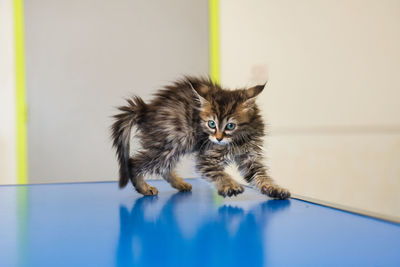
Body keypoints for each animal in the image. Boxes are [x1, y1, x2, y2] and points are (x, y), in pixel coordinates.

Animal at [111, 76, 290, 200]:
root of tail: (146, 109)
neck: (239, 139)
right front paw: (229, 185)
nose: (218, 138)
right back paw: (144, 188)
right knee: (134, 162)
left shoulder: (251, 156)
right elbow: (218, 173)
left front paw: (273, 188)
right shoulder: (206, 157)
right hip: (172, 141)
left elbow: (260, 175)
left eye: (230, 126)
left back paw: (180, 183)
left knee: (165, 168)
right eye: (211, 124)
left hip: (174, 145)